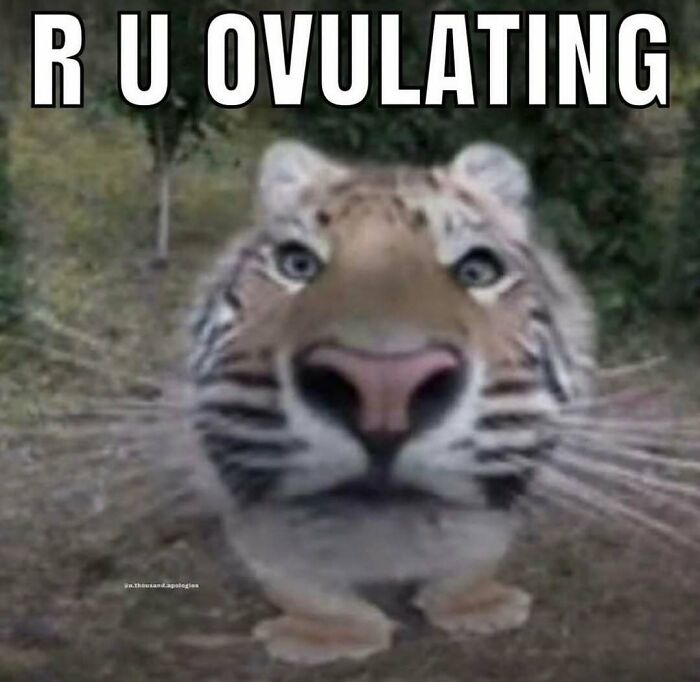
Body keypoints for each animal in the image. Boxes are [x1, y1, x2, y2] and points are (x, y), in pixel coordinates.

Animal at [186, 139, 595, 665]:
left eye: (477, 270)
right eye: (297, 265)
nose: (384, 386)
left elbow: (478, 549)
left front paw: (477, 607)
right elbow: (299, 580)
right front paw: (333, 636)